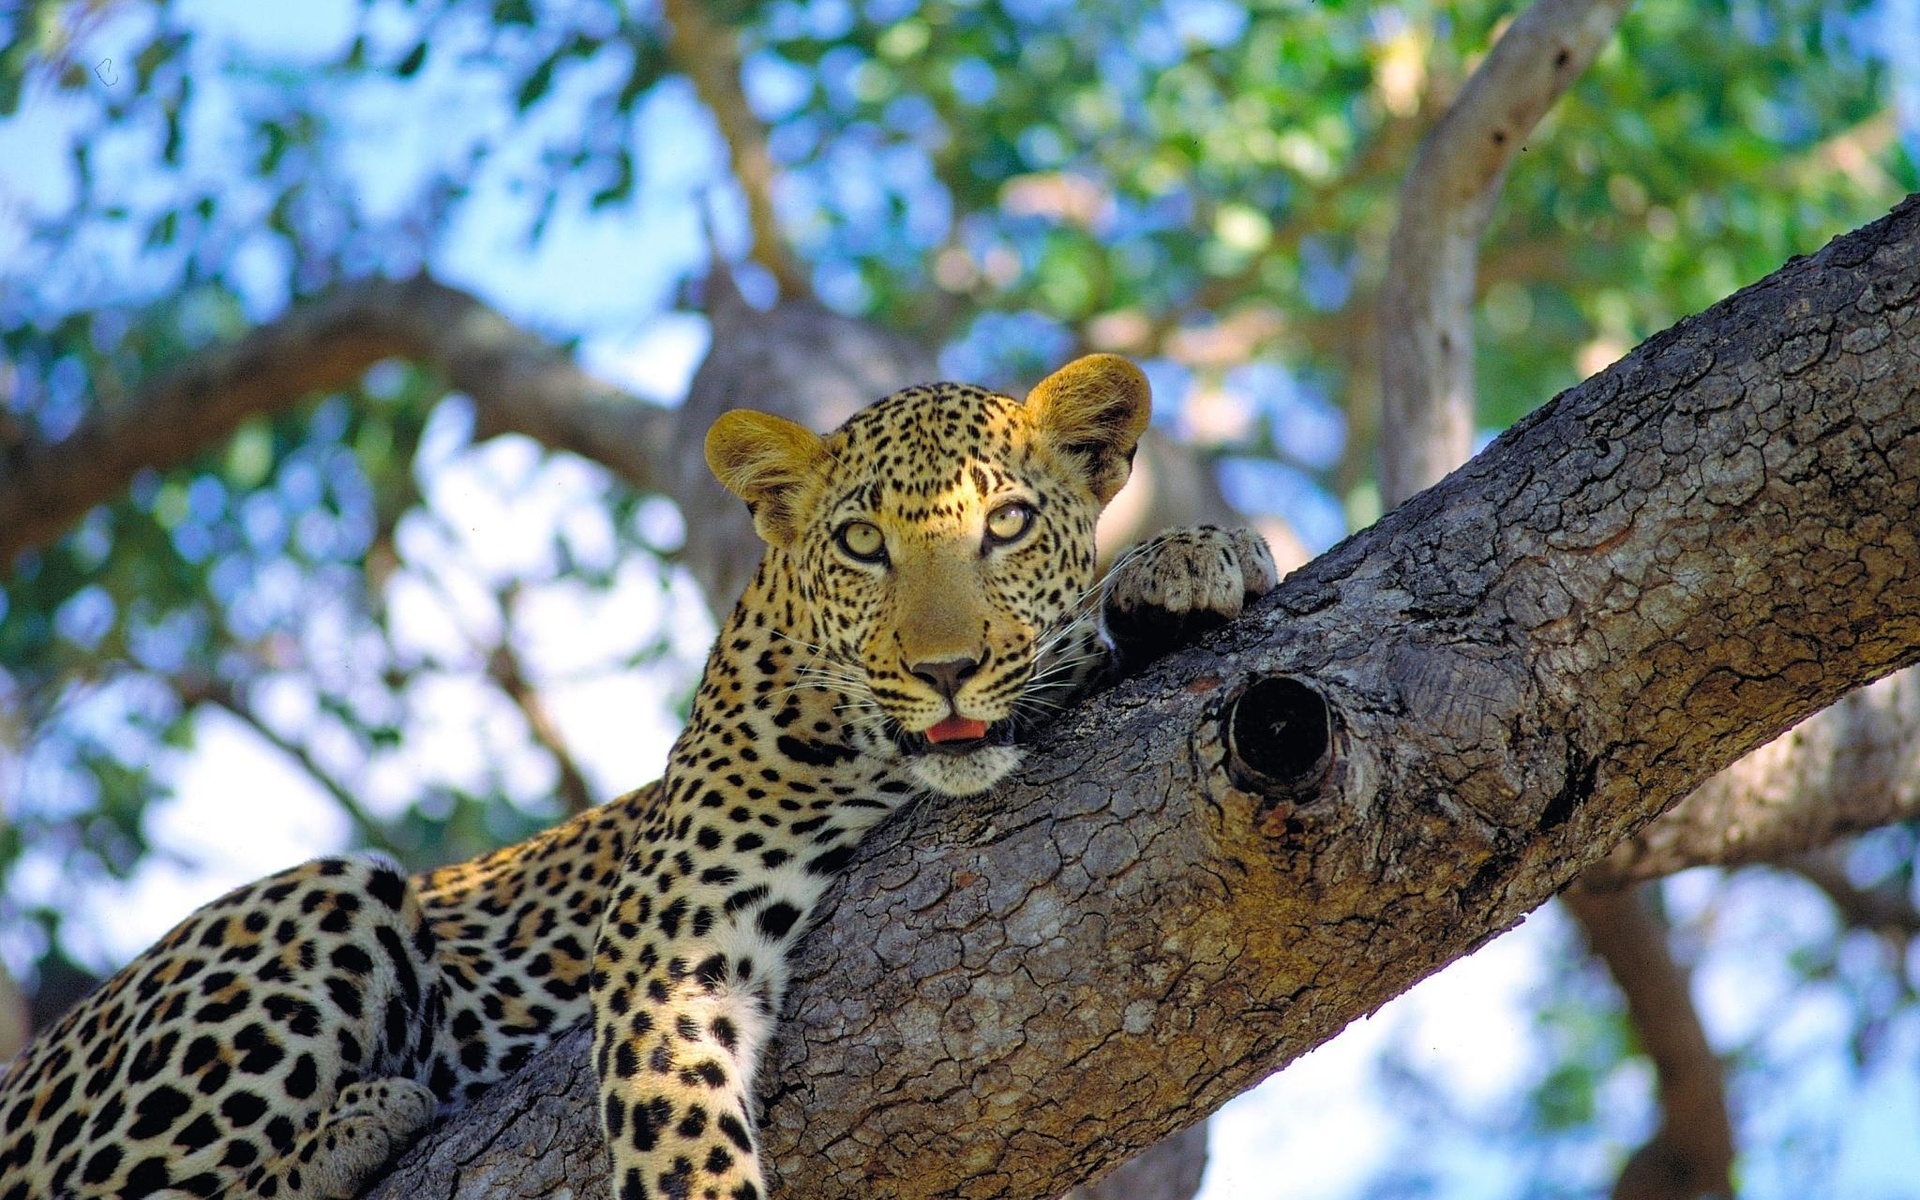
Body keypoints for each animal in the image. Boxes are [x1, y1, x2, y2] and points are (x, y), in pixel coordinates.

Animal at [3, 351, 1290, 1190]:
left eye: (1010, 524)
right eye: (862, 544)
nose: (947, 670)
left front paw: (1193, 559)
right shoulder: (675, 929)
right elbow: (676, 1132)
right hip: (322, 892)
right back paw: (355, 1125)